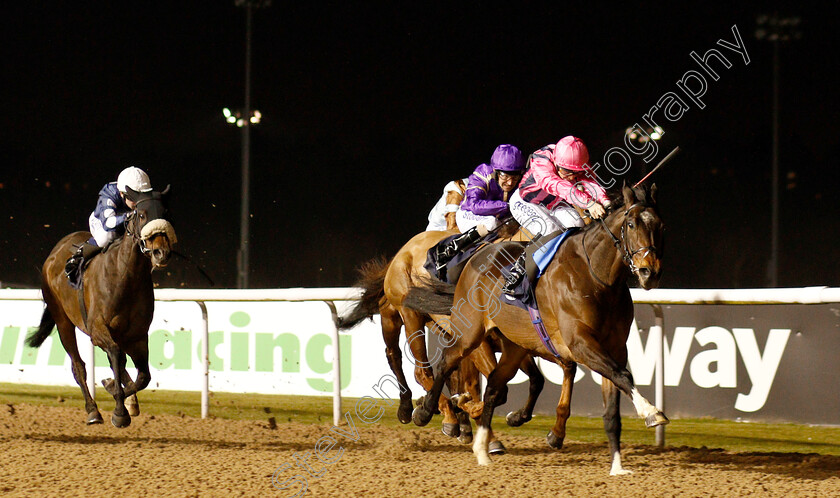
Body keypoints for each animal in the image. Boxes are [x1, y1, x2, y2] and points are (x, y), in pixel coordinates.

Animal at [25, 185, 176, 426]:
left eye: (166, 213)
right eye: (142, 215)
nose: (161, 252)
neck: (125, 276)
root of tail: (55, 252)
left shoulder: (137, 335)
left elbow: (143, 376)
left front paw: (118, 392)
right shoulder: (98, 330)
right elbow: (115, 356)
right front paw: (119, 411)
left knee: (121, 363)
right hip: (63, 320)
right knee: (79, 366)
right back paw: (93, 411)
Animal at [338, 227, 548, 448]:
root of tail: (403, 250)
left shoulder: (513, 344)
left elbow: (534, 379)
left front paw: (512, 418)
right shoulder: (476, 343)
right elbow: (493, 388)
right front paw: (460, 408)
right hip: (402, 315)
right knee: (407, 363)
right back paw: (414, 410)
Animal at [406, 183, 668, 474]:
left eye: (661, 225)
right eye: (631, 224)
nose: (649, 273)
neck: (597, 277)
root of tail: (477, 256)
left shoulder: (615, 347)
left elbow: (613, 406)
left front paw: (618, 467)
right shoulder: (580, 343)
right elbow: (623, 375)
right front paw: (651, 412)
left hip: (515, 345)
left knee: (494, 385)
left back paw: (483, 448)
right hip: (469, 332)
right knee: (445, 363)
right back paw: (426, 411)